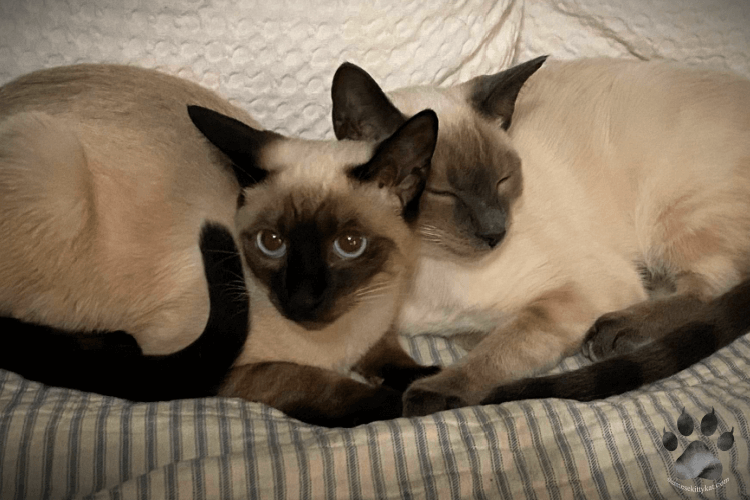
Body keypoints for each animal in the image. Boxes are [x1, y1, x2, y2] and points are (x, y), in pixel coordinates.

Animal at [334, 56, 750, 416]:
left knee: (711, 286)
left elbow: (502, 347)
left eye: (503, 179)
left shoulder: (578, 292)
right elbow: (484, 337)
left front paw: (437, 390)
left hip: (674, 216)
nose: (495, 232)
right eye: (442, 193)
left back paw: (618, 329)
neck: (424, 268)